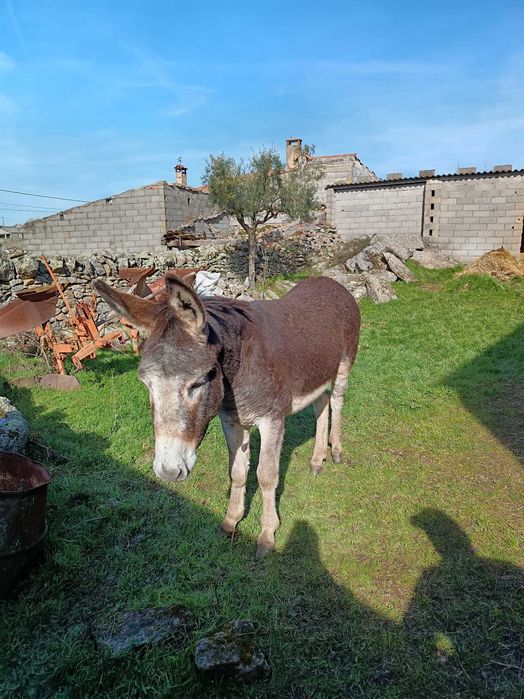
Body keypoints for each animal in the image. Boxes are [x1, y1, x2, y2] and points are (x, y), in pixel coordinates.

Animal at [94, 274, 360, 557]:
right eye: (147, 385)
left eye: (198, 382)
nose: (168, 472)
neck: (240, 367)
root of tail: (330, 281)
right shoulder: (232, 420)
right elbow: (238, 472)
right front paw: (231, 520)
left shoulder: (272, 420)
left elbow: (266, 476)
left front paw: (267, 534)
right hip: (316, 372)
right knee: (321, 401)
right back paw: (317, 459)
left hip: (344, 363)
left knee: (337, 400)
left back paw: (336, 451)